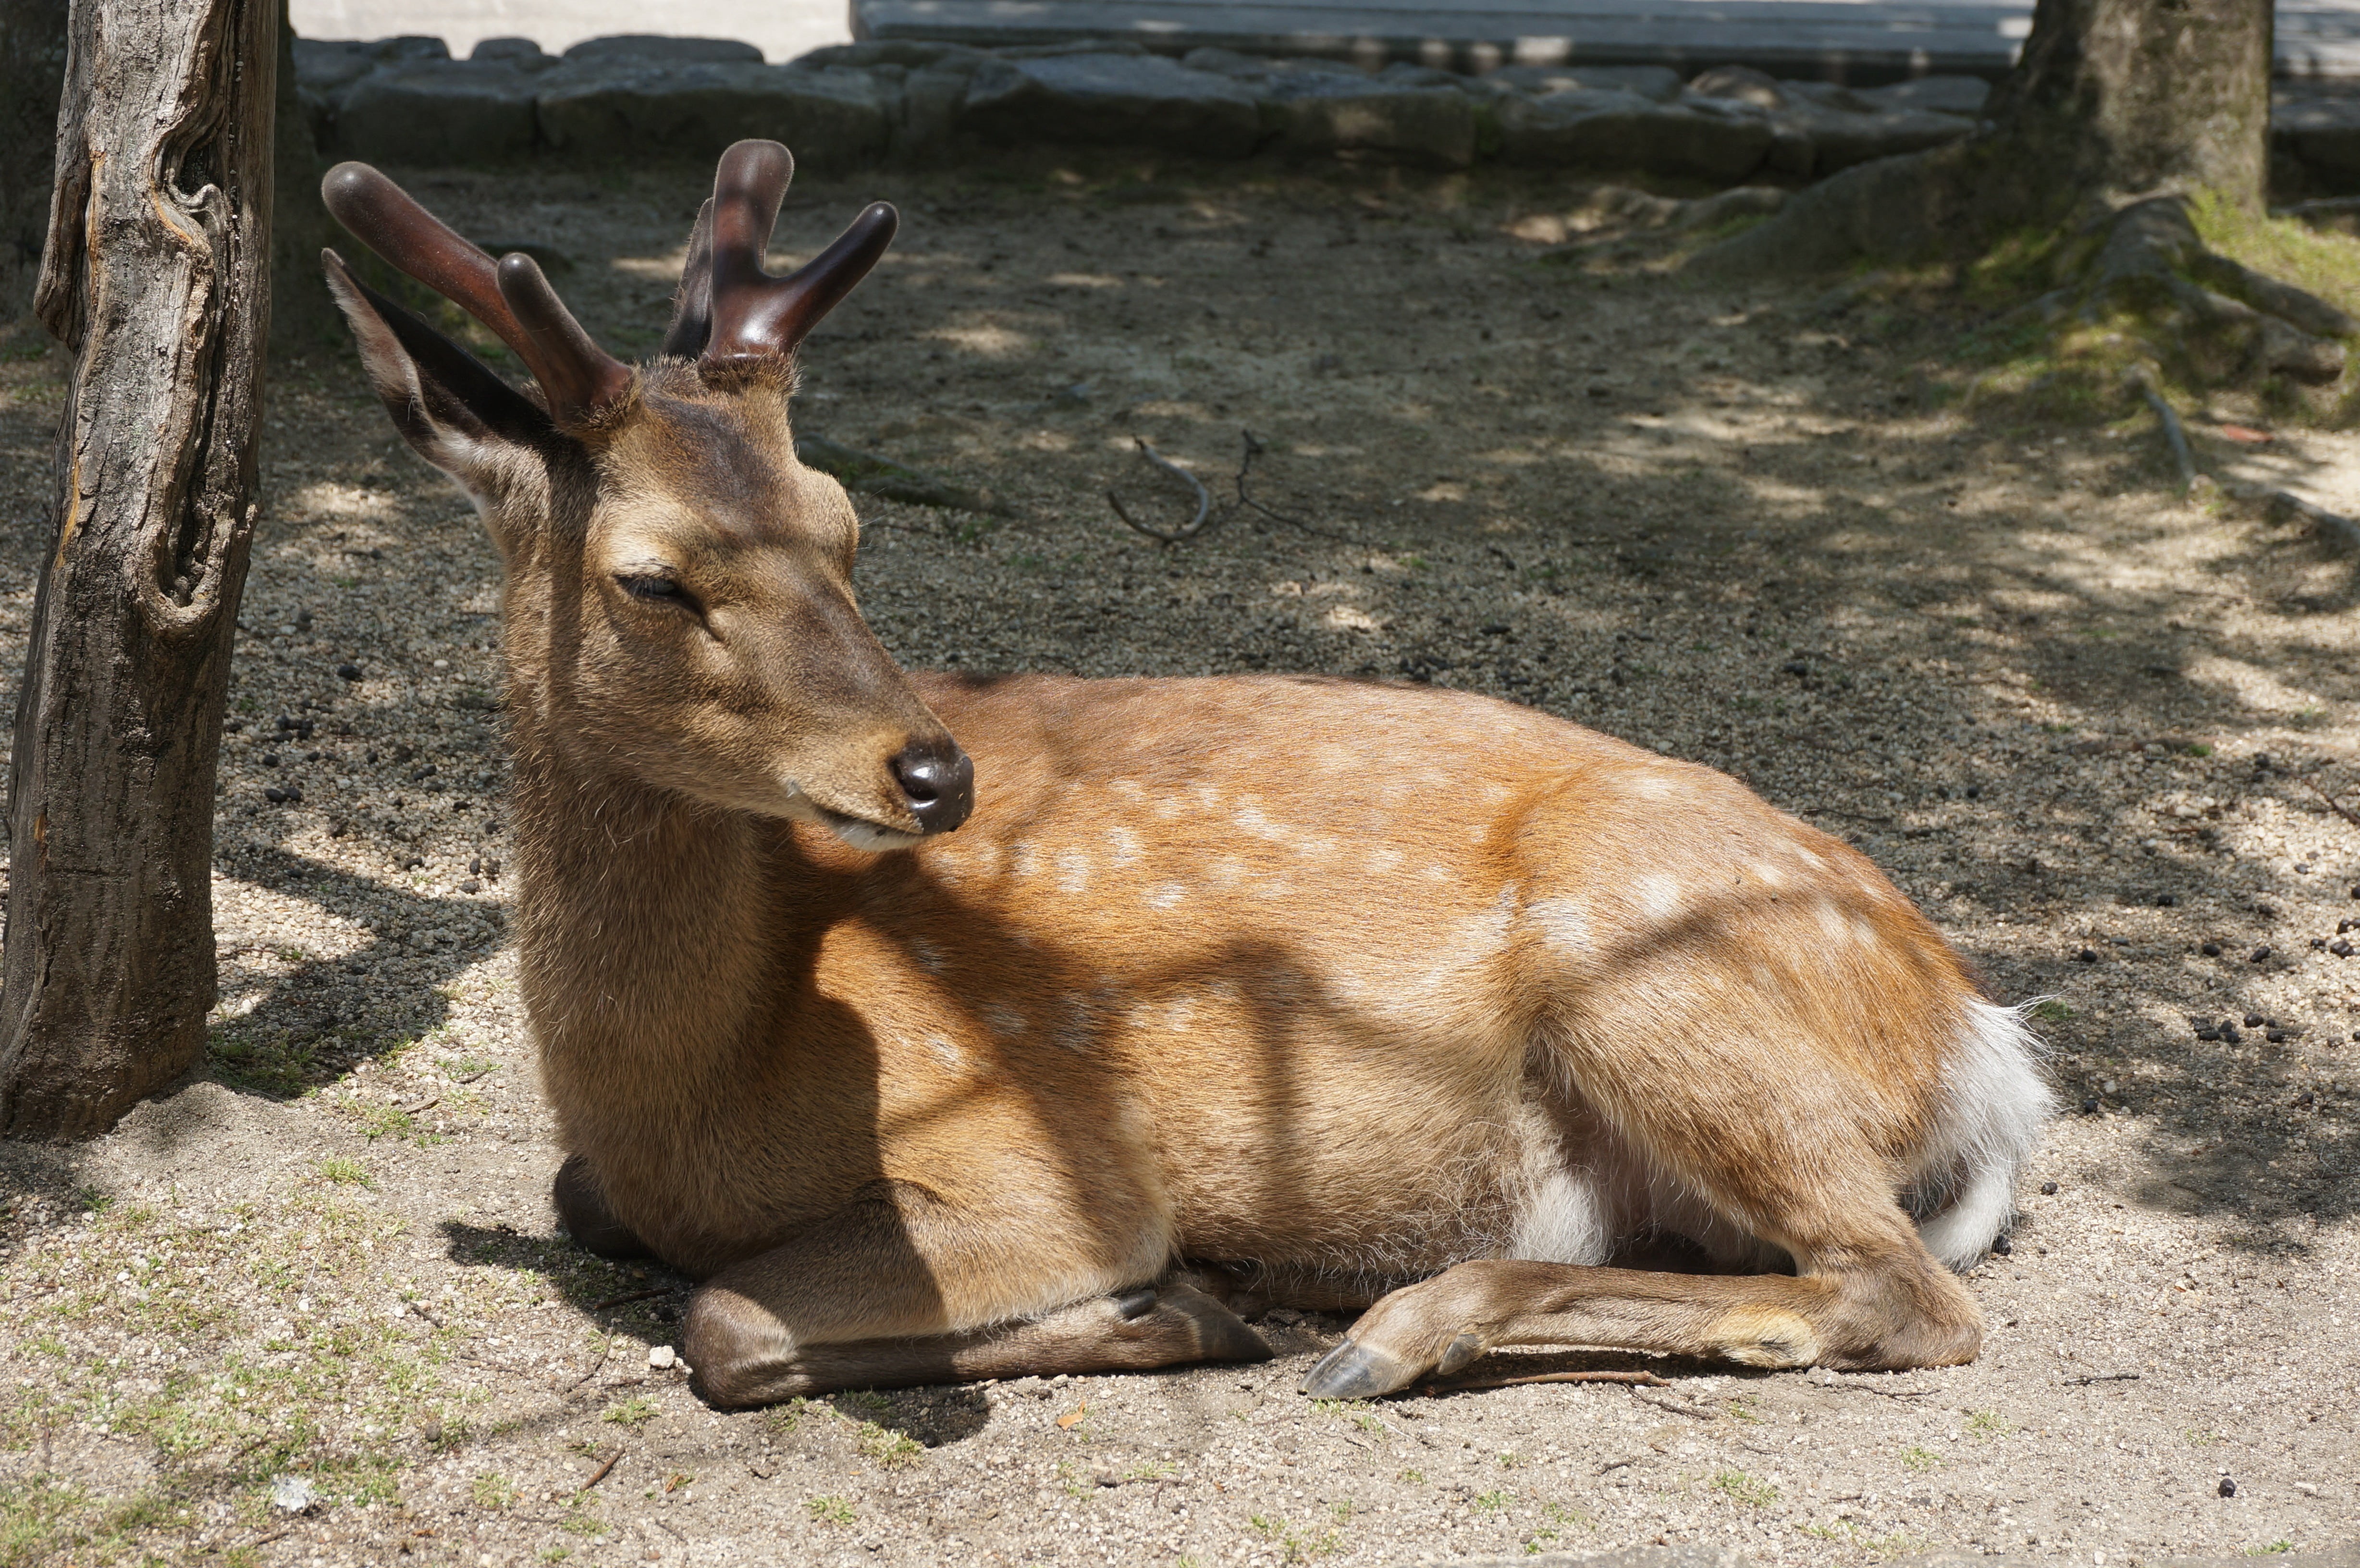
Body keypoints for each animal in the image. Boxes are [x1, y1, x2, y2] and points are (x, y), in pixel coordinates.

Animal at [316, 140, 2051, 1408]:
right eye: (653, 577)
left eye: (846, 524)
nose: (932, 772)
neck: (687, 1090)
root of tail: (1983, 1043)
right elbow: (588, 1208)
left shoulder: (1044, 1164)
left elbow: (731, 1322)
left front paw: (1182, 1308)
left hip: (1663, 968)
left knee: (1909, 1293)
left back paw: (1393, 1331)